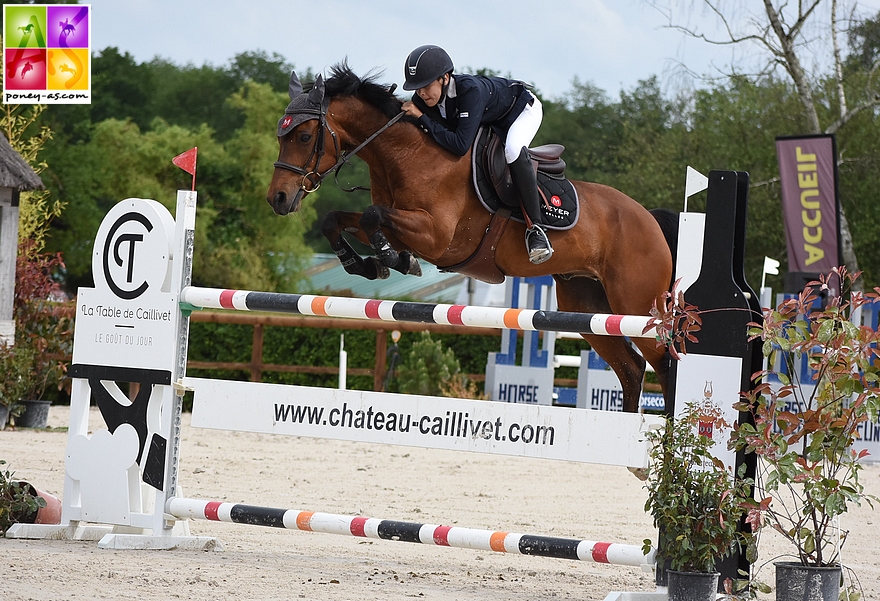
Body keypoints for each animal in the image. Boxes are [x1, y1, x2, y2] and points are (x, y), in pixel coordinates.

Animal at [264, 64, 676, 412]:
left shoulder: (436, 237)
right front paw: (366, 264)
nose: (278, 199)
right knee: (631, 369)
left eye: (304, 135)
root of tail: (649, 218)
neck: (405, 155)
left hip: (637, 306)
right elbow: (337, 220)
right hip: (587, 304)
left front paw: (392, 260)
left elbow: (372, 216)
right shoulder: (403, 225)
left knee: (665, 363)